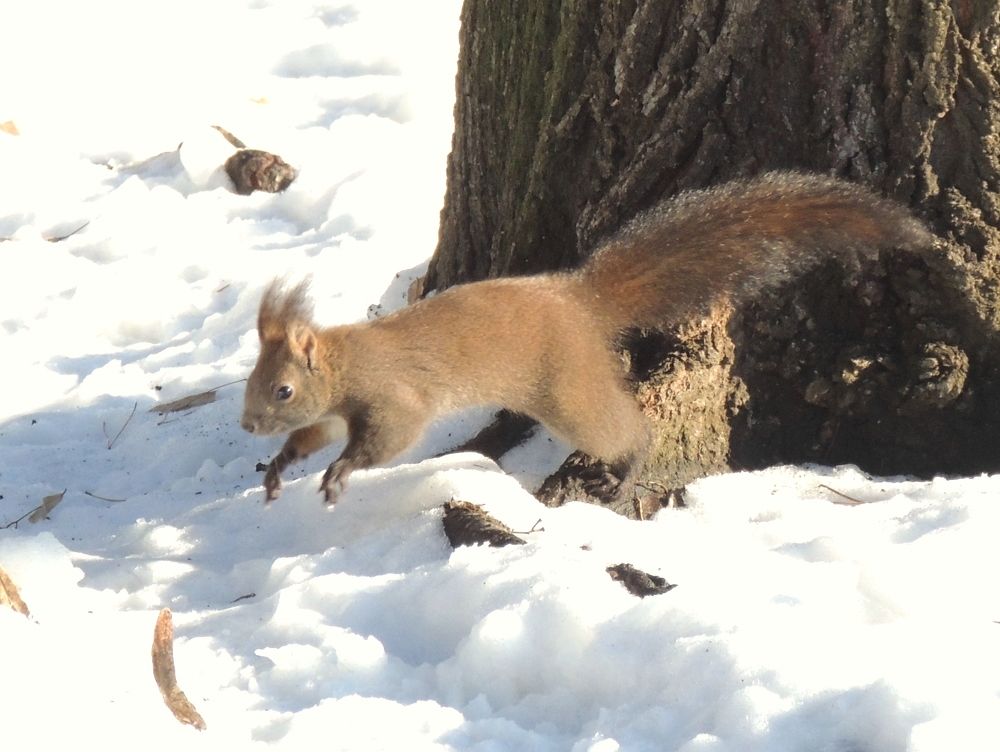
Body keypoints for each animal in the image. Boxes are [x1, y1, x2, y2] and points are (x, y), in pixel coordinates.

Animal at [240, 171, 934, 505]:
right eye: (251, 382)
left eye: (281, 389)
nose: (248, 426)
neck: (345, 361)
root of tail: (579, 300)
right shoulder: (336, 410)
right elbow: (316, 437)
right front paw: (281, 466)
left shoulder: (393, 398)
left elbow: (390, 440)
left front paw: (340, 472)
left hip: (567, 389)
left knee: (626, 430)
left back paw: (626, 471)